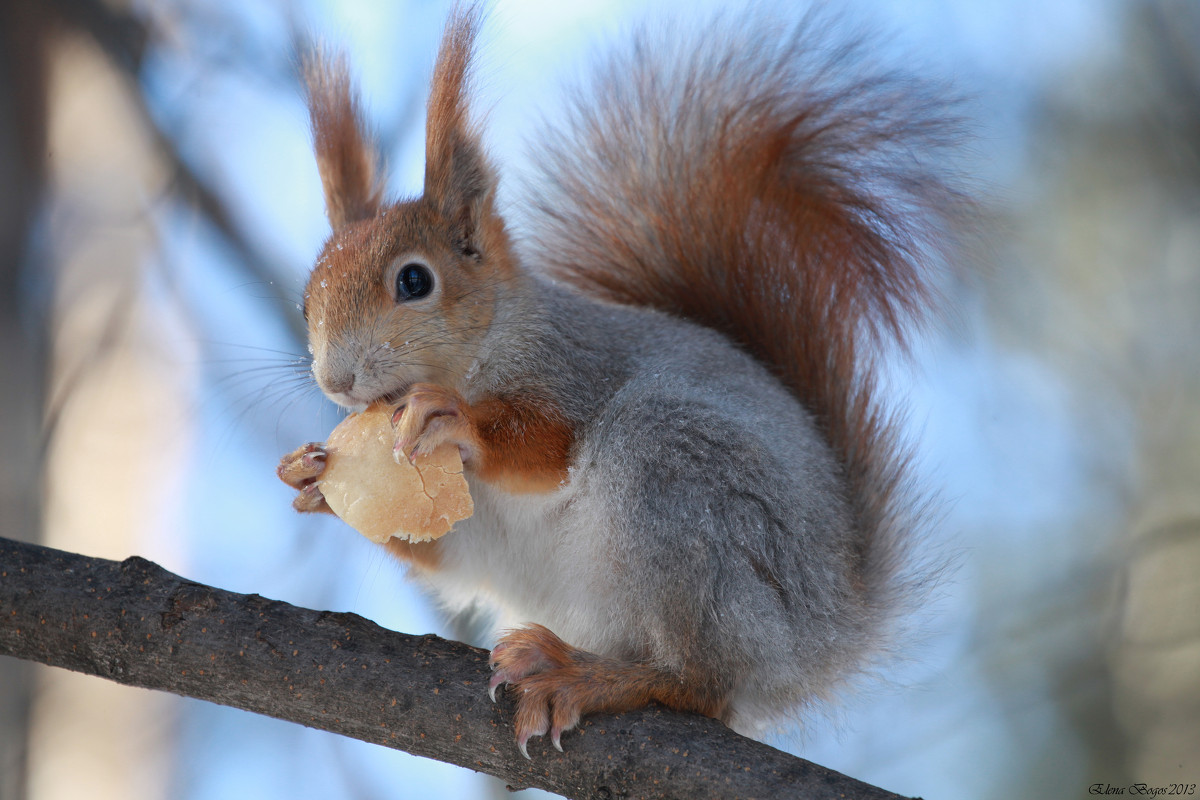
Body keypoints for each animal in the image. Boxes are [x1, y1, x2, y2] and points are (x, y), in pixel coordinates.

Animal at [274, 3, 964, 762]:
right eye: (307, 301)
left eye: (414, 282)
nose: (336, 379)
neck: (496, 340)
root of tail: (830, 636)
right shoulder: (472, 528)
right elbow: (447, 553)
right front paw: (311, 479)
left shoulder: (575, 367)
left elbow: (546, 444)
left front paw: (455, 420)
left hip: (685, 490)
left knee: (699, 685)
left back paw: (585, 678)